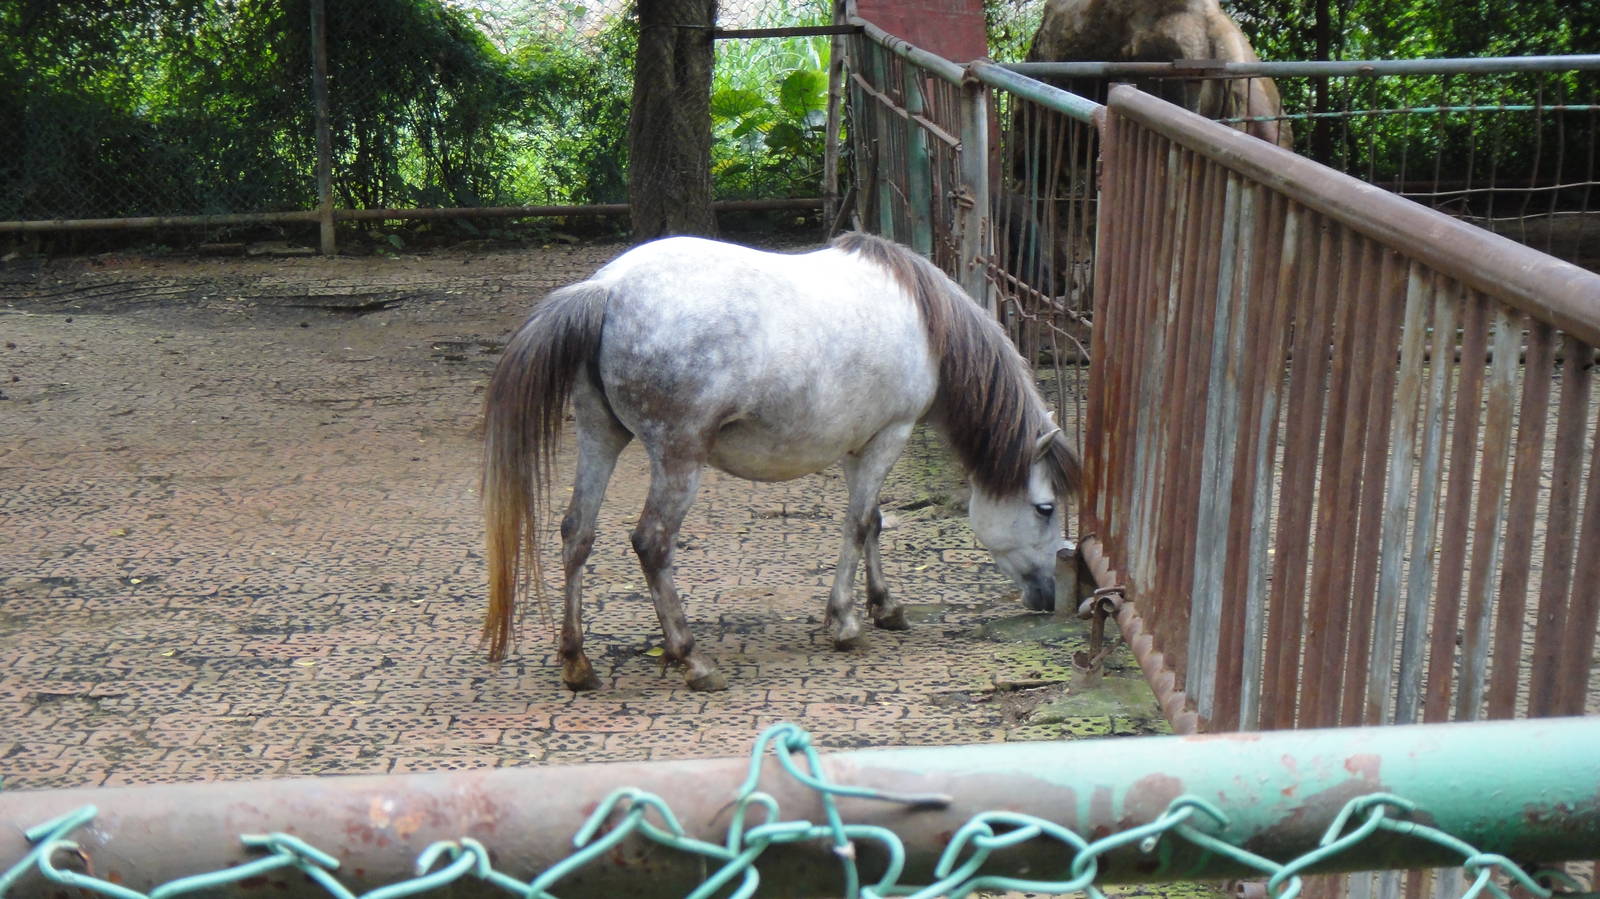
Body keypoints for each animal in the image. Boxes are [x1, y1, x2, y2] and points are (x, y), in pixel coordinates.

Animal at [480, 232, 1082, 692]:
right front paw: (845, 624)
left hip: (600, 437)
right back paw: (692, 659)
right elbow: (858, 524)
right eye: (1046, 508)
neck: (924, 321)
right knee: (651, 543)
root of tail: (607, 289)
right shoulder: (890, 435)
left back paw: (577, 664)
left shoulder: (859, 444)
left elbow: (873, 523)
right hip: (679, 458)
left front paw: (884, 607)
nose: (1049, 596)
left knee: (576, 533)